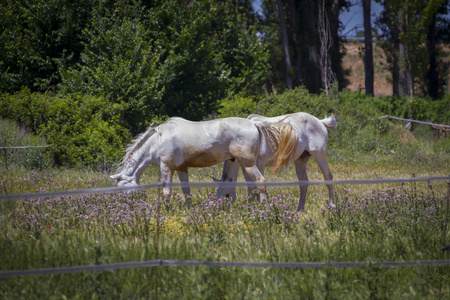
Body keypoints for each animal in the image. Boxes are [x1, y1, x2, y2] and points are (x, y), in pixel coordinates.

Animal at [110, 116, 298, 203]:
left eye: (121, 186)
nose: (127, 204)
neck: (158, 140)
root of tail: (255, 124)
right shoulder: (182, 168)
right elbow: (186, 191)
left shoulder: (166, 168)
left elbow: (166, 192)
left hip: (248, 163)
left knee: (260, 181)